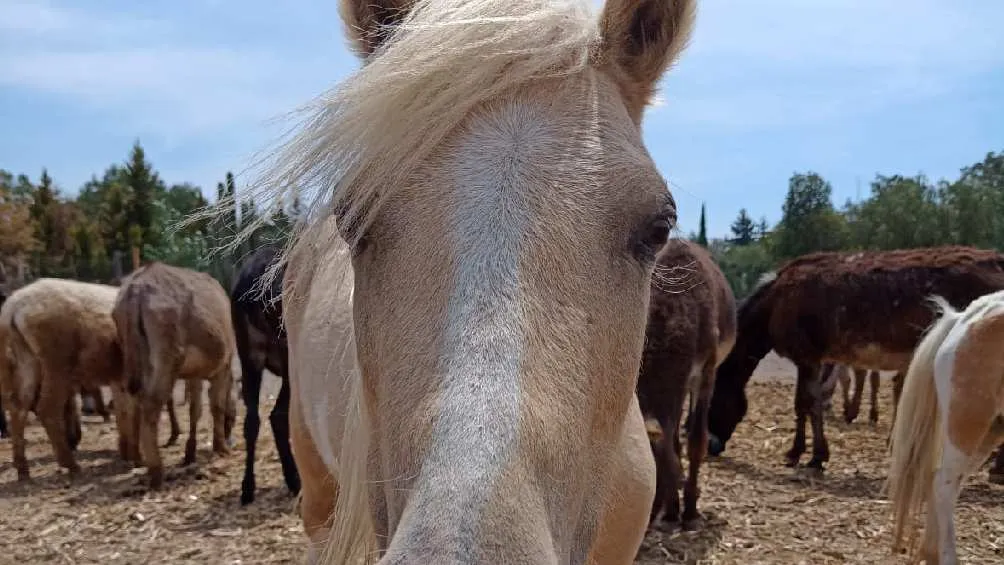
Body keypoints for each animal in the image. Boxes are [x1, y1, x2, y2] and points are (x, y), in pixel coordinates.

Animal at [0, 278, 131, 480]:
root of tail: (13, 306)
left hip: (26, 363)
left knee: (18, 409)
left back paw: (23, 469)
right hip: (57, 364)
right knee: (47, 409)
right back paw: (70, 464)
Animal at [113, 262, 237, 488]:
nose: (230, 436)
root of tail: (137, 287)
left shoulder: (194, 376)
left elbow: (195, 410)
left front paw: (190, 452)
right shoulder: (222, 369)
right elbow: (216, 406)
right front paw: (220, 446)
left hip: (132, 354)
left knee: (132, 401)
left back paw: (138, 458)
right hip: (167, 357)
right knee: (150, 405)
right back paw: (156, 471)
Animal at [231, 245, 299, 505]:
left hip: (248, 355)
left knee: (252, 421)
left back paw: (248, 488)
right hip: (288, 356)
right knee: (278, 415)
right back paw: (295, 480)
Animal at [707, 245, 1004, 471]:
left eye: (712, 401)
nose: (711, 448)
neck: (775, 303)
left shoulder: (807, 357)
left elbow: (805, 403)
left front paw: (807, 455)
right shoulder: (812, 359)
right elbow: (807, 403)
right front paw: (806, 453)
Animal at [887, 291, 1004, 565]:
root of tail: (963, 319)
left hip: (988, 432)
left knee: (945, 484)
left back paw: (931, 553)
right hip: (967, 425)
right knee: (943, 484)